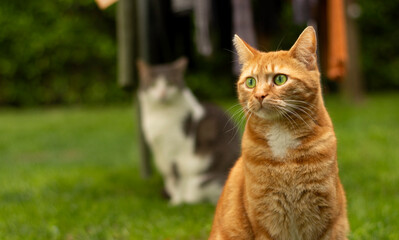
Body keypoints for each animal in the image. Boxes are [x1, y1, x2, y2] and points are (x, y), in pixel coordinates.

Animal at [138, 57, 241, 204]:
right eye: (153, 84)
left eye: (170, 84)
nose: (162, 94)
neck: (159, 115)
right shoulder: (162, 154)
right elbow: (169, 179)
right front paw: (173, 198)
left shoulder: (174, 153)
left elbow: (176, 179)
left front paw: (175, 202)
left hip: (204, 182)